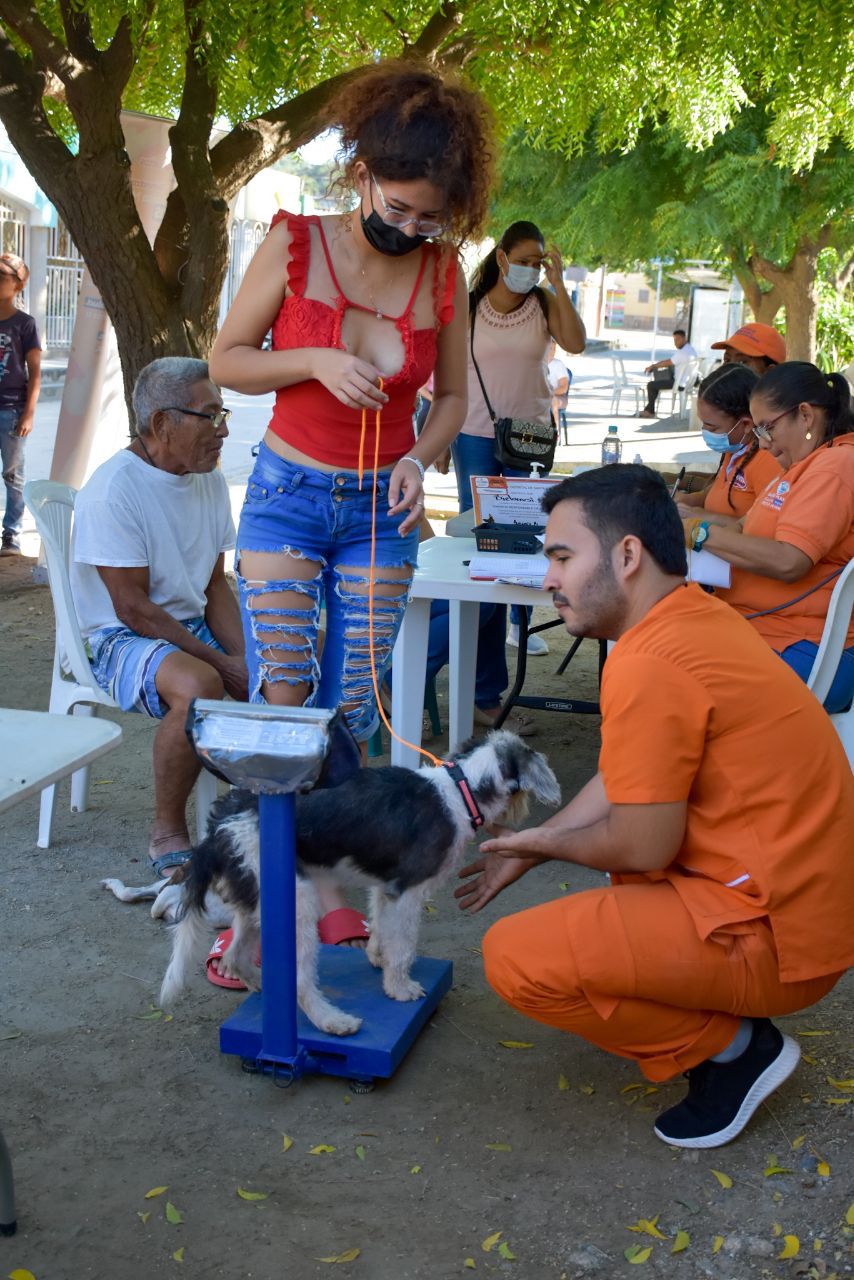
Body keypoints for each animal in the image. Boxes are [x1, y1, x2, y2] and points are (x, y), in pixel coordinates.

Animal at [142, 727, 560, 1034]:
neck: (460, 789)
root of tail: (218, 829)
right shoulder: (407, 892)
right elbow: (403, 945)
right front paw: (400, 988)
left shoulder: (384, 887)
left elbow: (380, 927)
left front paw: (377, 956)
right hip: (298, 905)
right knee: (297, 979)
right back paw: (332, 1021)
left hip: (254, 904)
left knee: (236, 956)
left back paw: (262, 986)